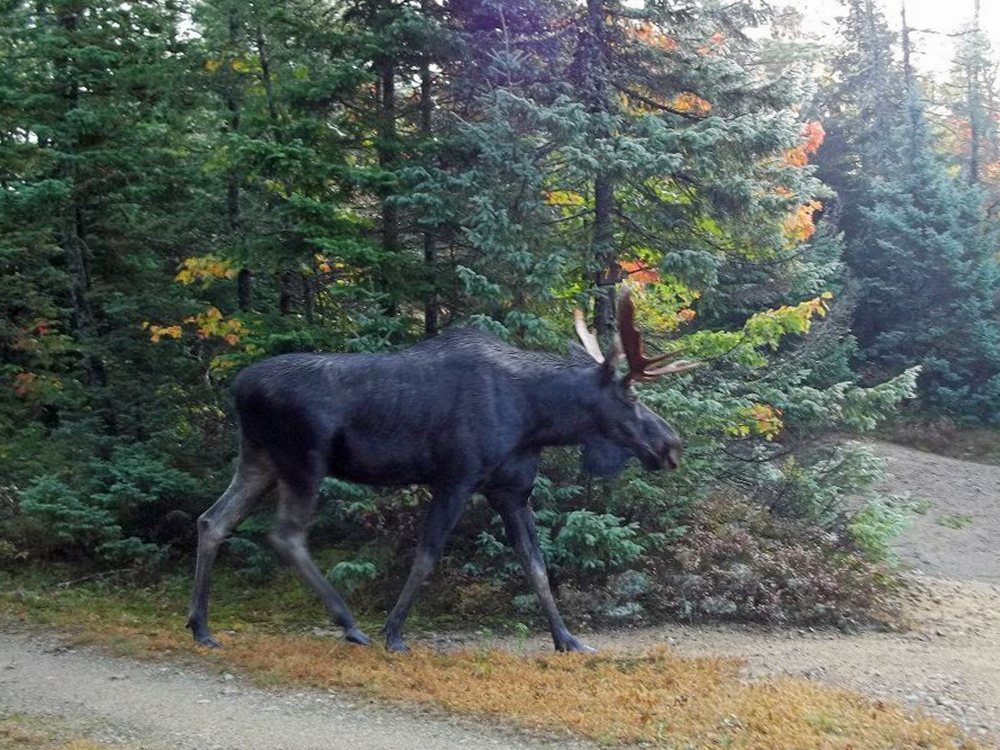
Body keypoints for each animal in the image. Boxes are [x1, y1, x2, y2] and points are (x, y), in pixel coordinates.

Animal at [186, 290, 696, 656]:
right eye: (631, 397)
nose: (671, 446)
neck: (536, 419)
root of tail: (238, 386)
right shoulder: (455, 478)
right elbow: (427, 557)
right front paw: (394, 633)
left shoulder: (511, 491)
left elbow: (536, 565)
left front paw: (567, 639)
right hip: (303, 460)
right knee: (285, 535)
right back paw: (350, 625)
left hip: (259, 457)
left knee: (213, 520)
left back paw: (202, 626)